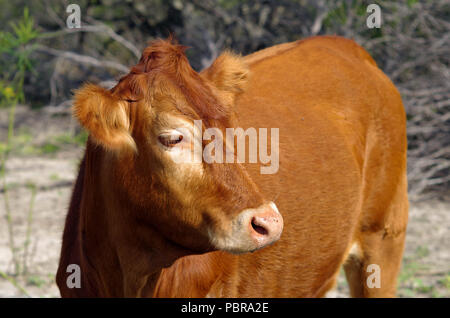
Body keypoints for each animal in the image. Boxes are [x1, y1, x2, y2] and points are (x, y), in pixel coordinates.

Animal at [56, 36, 408, 296]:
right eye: (172, 138)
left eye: (232, 131)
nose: (269, 222)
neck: (132, 272)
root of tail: (347, 46)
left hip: (383, 239)